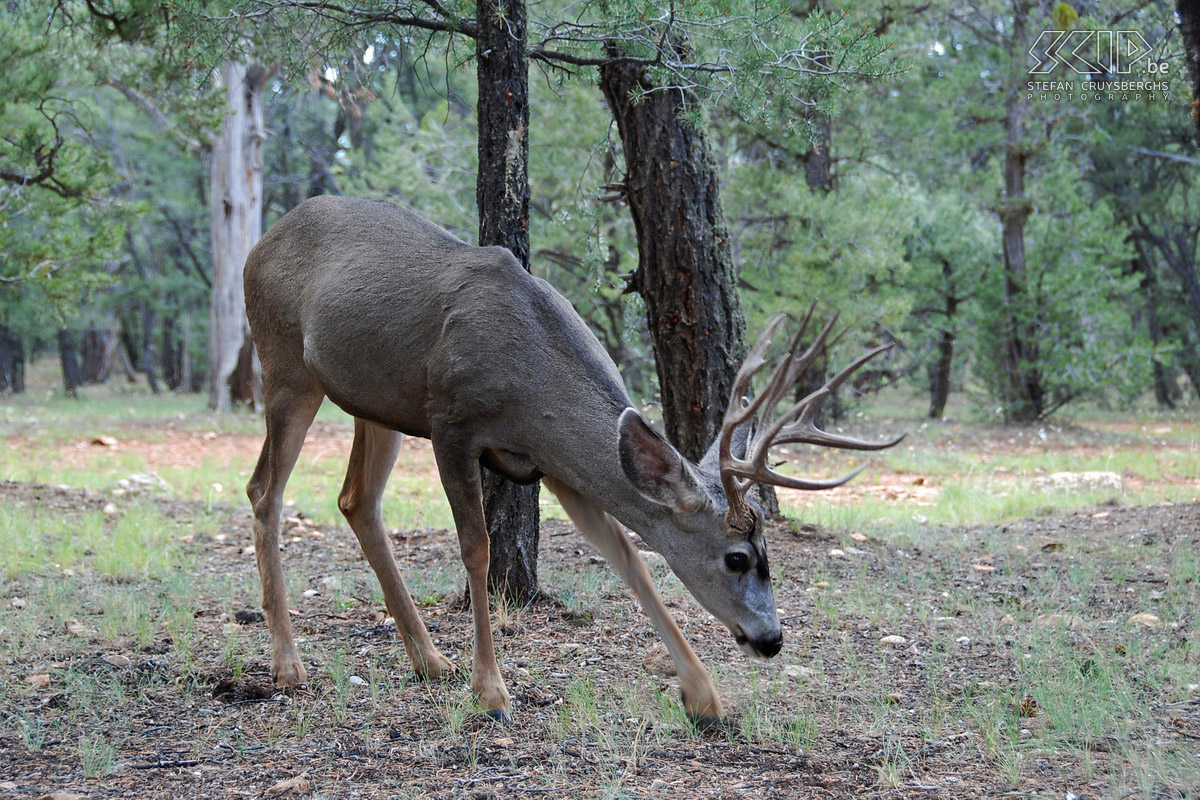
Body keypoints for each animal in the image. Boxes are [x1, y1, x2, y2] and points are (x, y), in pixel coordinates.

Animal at [243, 196, 902, 724]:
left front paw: (705, 697)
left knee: (356, 499)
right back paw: (288, 664)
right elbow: (477, 547)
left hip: (375, 403)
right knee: (263, 490)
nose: (772, 639)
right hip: (285, 364)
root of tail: (262, 241)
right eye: (738, 557)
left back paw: (430, 660)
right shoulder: (452, 424)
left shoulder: (553, 463)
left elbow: (627, 556)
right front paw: (492, 692)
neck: (532, 383)